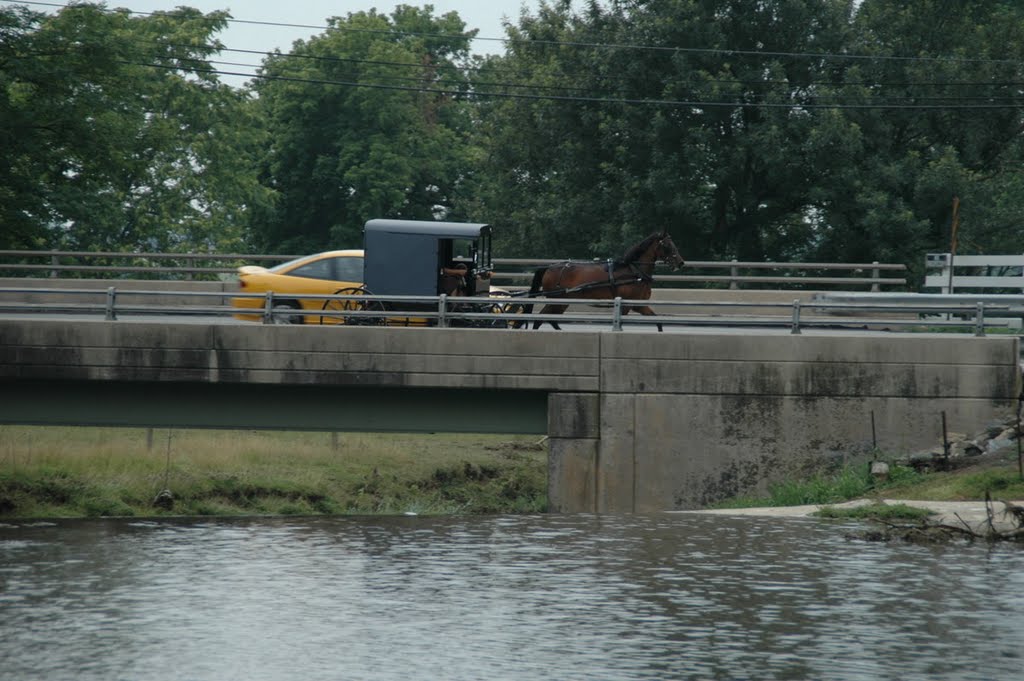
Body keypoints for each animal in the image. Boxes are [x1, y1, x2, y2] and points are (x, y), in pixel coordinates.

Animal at [516, 231, 684, 331]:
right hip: (556, 300)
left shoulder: (638, 305)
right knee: (540, 319)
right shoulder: (626, 305)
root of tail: (550, 267)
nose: (681, 263)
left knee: (549, 319)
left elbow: (658, 322)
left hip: (562, 301)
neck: (633, 270)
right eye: (667, 245)